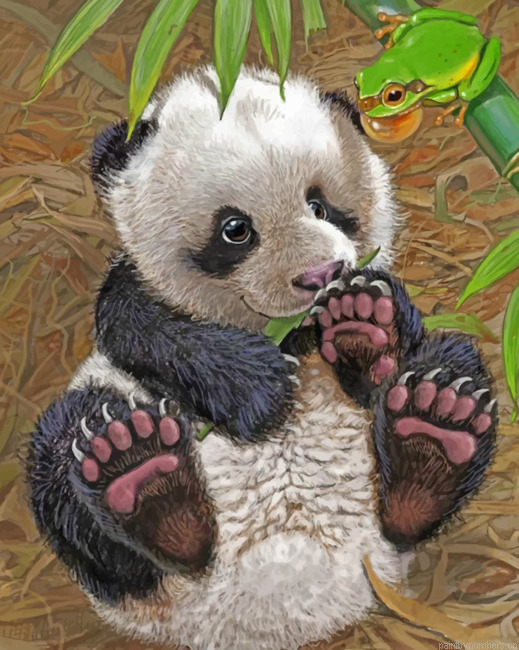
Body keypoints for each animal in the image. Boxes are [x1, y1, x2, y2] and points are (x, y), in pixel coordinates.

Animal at [27, 66, 497, 650]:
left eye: (319, 205)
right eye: (236, 229)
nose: (321, 275)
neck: (287, 334)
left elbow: (397, 326)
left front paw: (363, 321)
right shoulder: (141, 297)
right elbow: (142, 322)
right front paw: (258, 387)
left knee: (450, 368)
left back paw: (435, 430)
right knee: (67, 450)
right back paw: (139, 472)